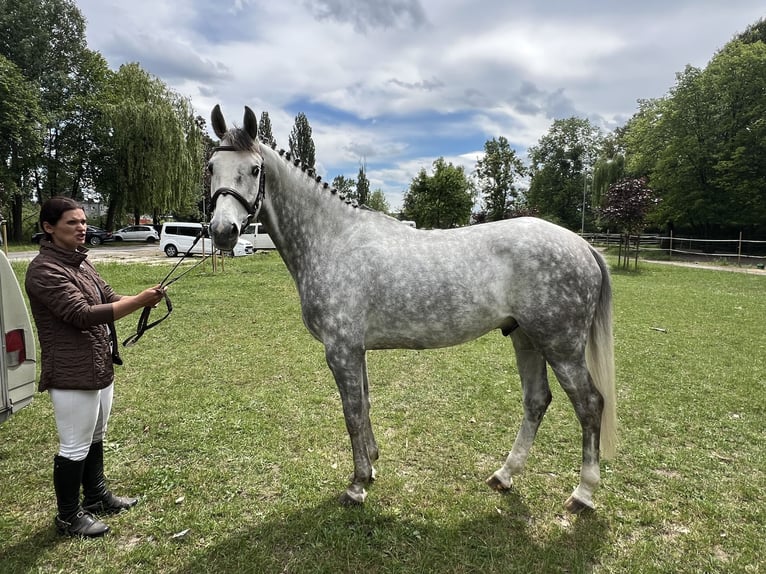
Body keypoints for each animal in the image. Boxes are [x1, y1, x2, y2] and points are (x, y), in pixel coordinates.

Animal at [207, 106, 616, 516]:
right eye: (211, 166)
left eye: (255, 169)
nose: (223, 231)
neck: (332, 240)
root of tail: (582, 244)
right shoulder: (355, 350)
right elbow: (365, 405)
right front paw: (371, 465)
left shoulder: (340, 350)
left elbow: (352, 413)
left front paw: (356, 485)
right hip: (526, 338)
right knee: (537, 400)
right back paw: (504, 475)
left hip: (561, 347)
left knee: (590, 405)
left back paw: (583, 494)